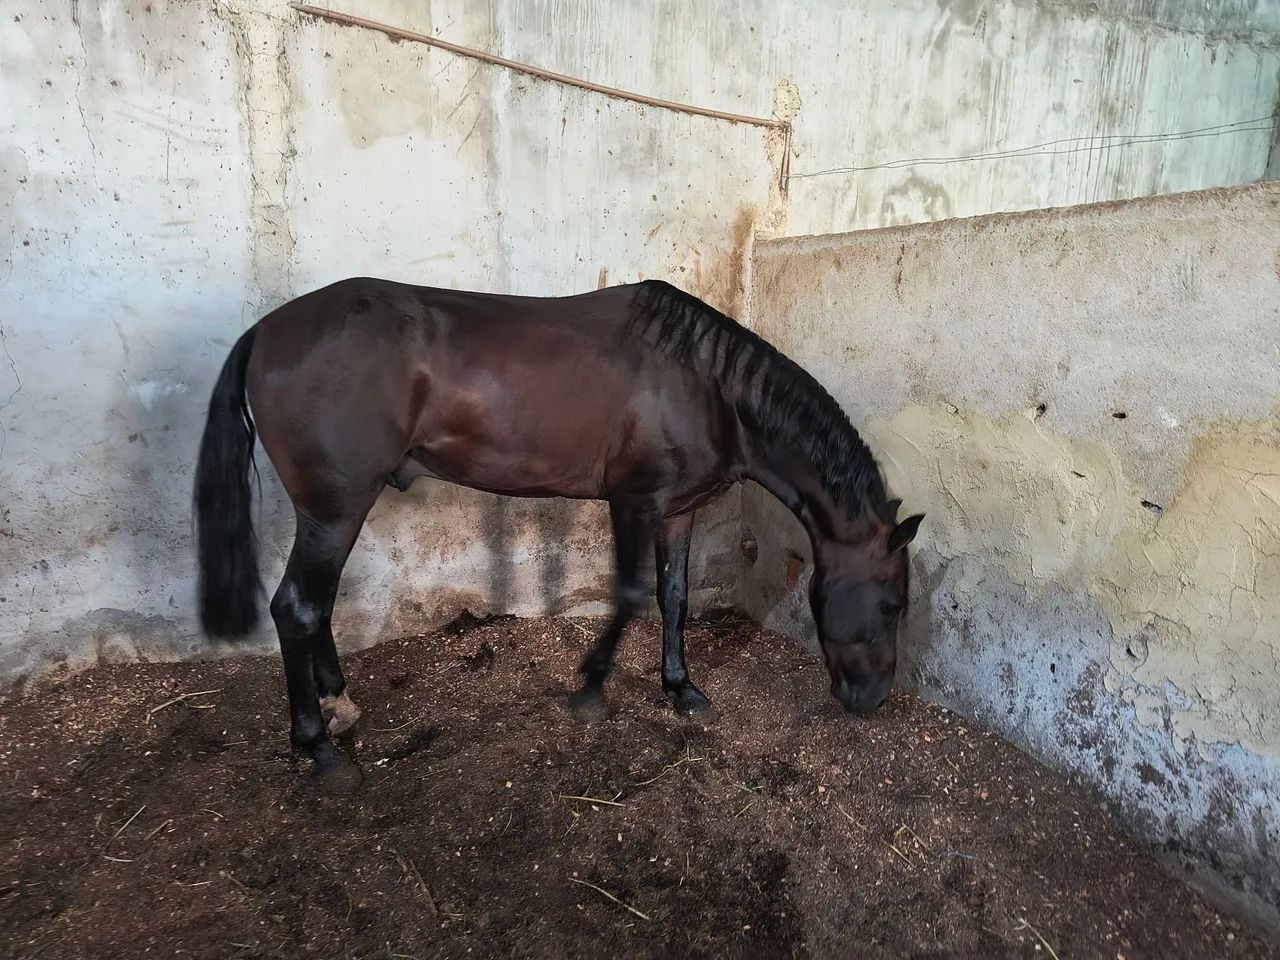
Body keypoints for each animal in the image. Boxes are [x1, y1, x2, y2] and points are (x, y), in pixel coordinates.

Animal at [194, 277, 923, 784]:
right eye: (893, 603)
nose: (872, 698)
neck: (704, 385)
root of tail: (265, 331)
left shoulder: (679, 509)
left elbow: (674, 598)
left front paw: (682, 688)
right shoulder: (633, 500)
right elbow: (628, 594)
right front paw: (592, 687)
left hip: (334, 512)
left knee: (315, 607)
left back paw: (340, 705)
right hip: (335, 510)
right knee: (297, 605)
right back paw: (318, 746)